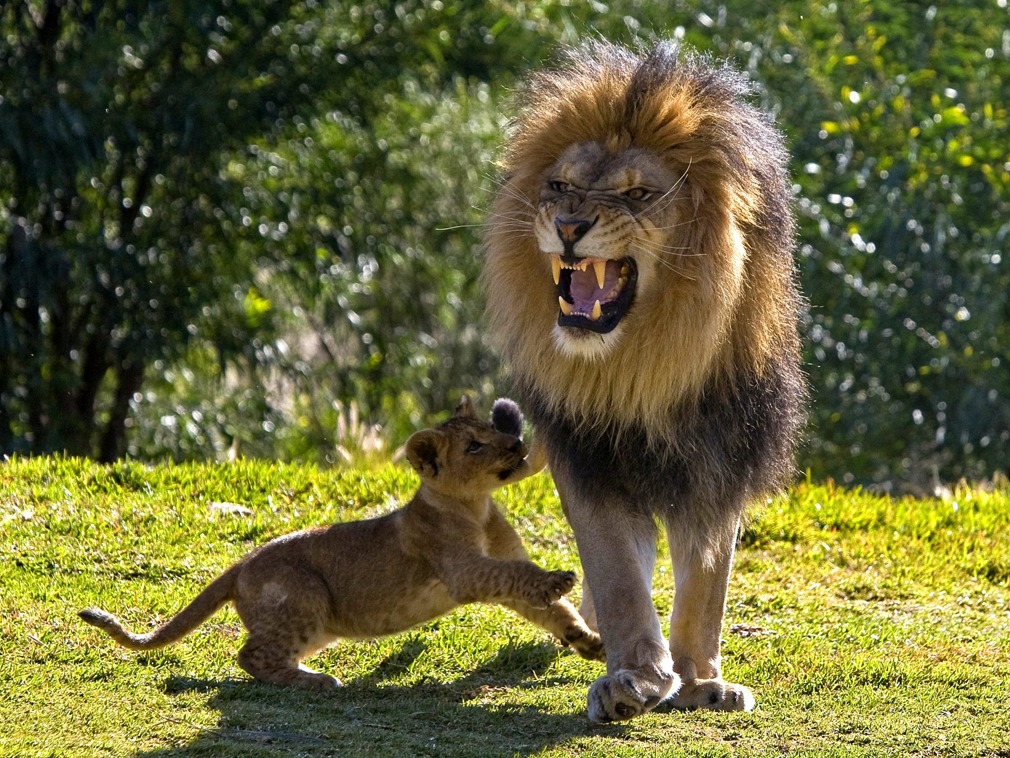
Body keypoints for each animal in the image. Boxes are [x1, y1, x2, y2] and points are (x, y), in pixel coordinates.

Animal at [482, 41, 803, 723]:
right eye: (560, 185)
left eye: (637, 194)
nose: (568, 224)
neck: (642, 367)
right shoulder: (590, 460)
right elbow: (617, 573)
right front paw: (635, 677)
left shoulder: (721, 462)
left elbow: (707, 583)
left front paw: (700, 679)